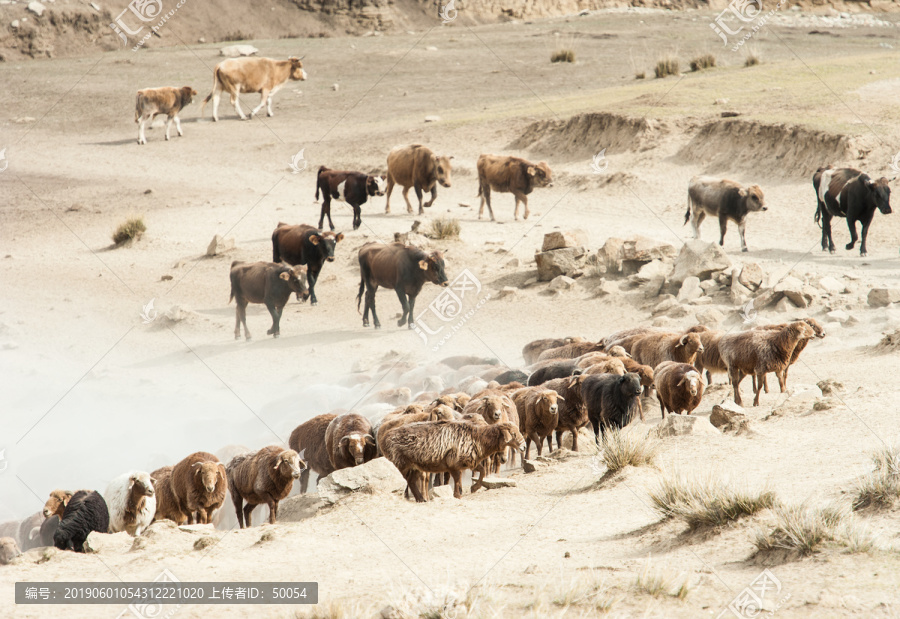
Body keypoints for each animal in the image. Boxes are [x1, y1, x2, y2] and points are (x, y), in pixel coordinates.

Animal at [382, 422, 528, 504]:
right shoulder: (453, 464)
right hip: (402, 464)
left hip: (414, 467)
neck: (478, 438)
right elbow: (457, 480)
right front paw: (458, 495)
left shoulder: (469, 462)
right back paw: (419, 498)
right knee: (409, 482)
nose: (524, 447)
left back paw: (420, 499)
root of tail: (384, 439)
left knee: (411, 482)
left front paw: (474, 488)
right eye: (513, 434)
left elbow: (482, 471)